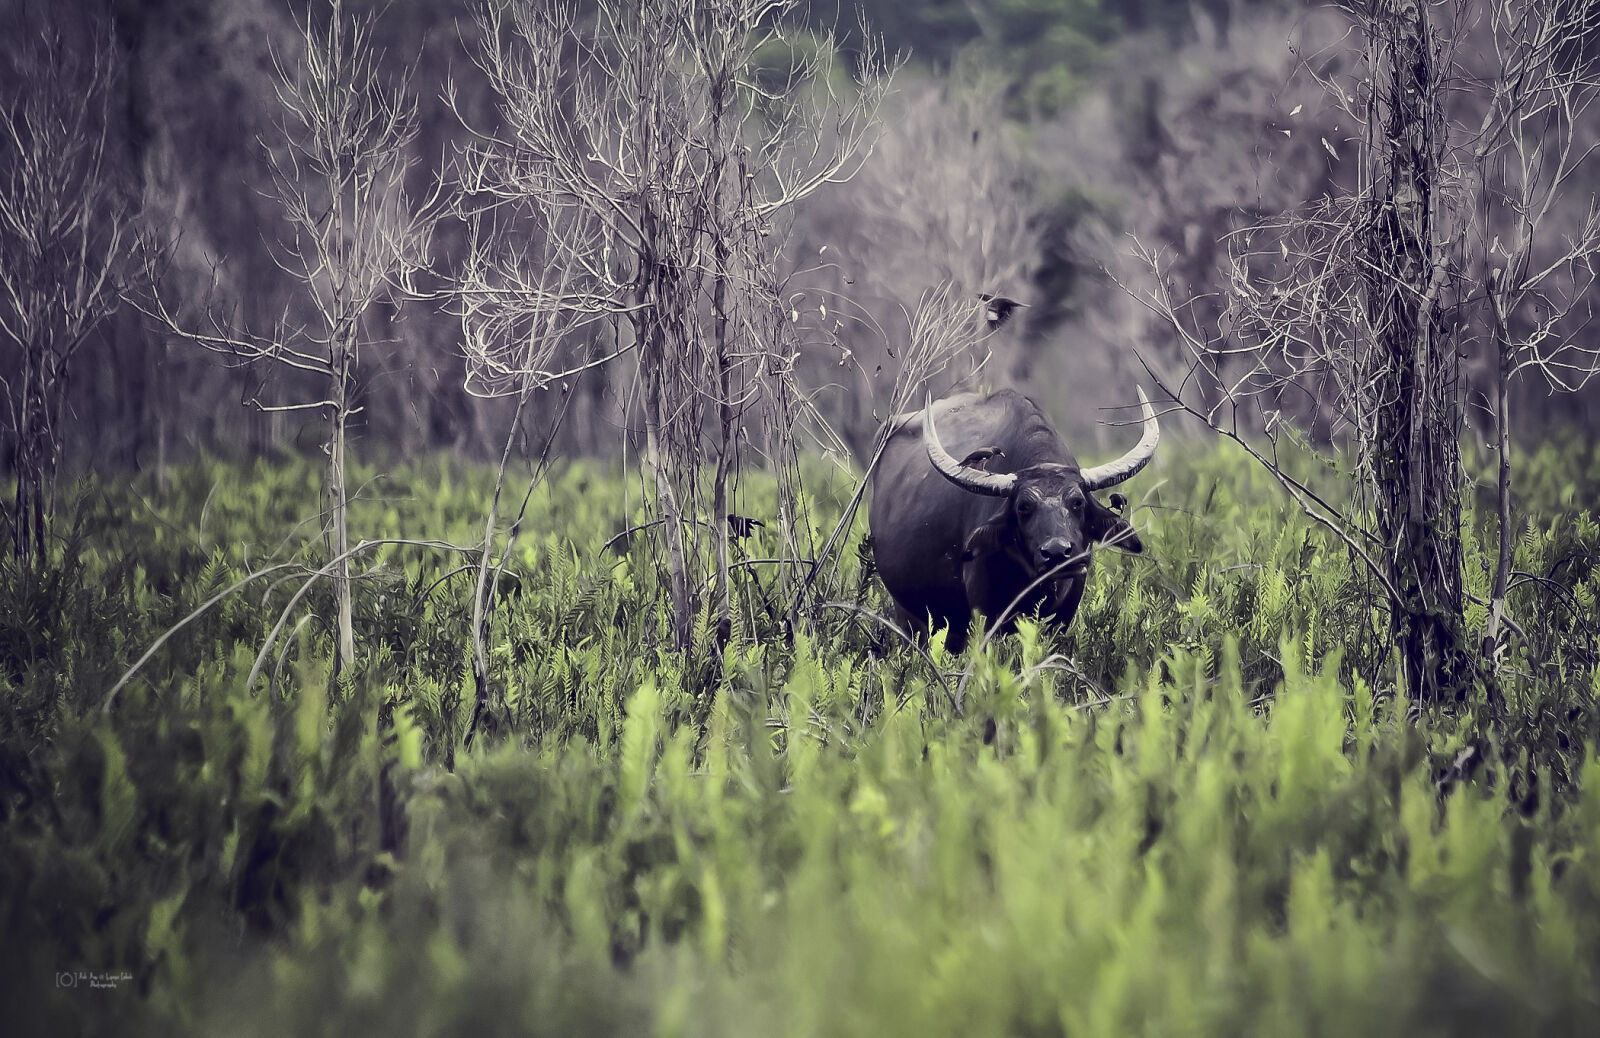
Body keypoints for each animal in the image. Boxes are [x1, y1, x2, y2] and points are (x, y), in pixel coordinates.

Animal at [870, 383, 1158, 652]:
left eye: (1077, 503)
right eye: (1023, 507)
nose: (1057, 553)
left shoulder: (1066, 608)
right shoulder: (983, 612)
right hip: (908, 613)